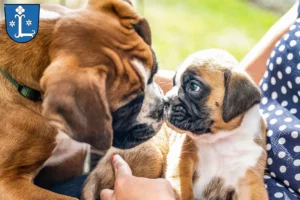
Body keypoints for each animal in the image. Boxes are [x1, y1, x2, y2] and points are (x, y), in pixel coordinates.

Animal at [83, 48, 268, 200]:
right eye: (174, 82)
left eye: (194, 87)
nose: (165, 101)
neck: (221, 139)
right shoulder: (182, 160)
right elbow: (183, 189)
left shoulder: (249, 182)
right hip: (152, 154)